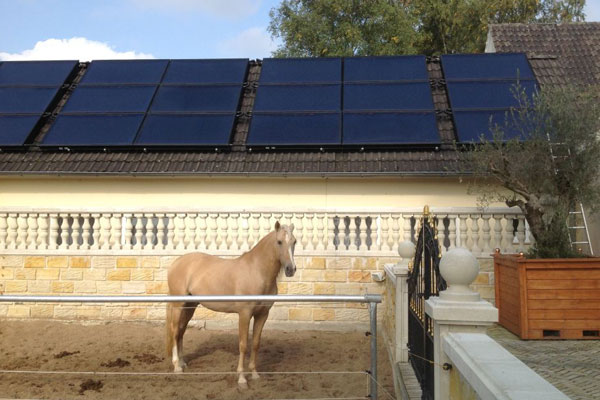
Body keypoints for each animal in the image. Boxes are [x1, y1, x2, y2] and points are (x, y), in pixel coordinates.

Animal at [165, 222, 296, 388]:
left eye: (294, 242)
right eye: (279, 242)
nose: (291, 269)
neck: (257, 272)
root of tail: (176, 263)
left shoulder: (262, 315)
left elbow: (255, 343)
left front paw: (254, 374)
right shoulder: (245, 314)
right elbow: (243, 344)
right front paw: (242, 378)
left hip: (190, 306)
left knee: (181, 331)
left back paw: (182, 363)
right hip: (178, 305)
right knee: (175, 331)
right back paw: (177, 366)